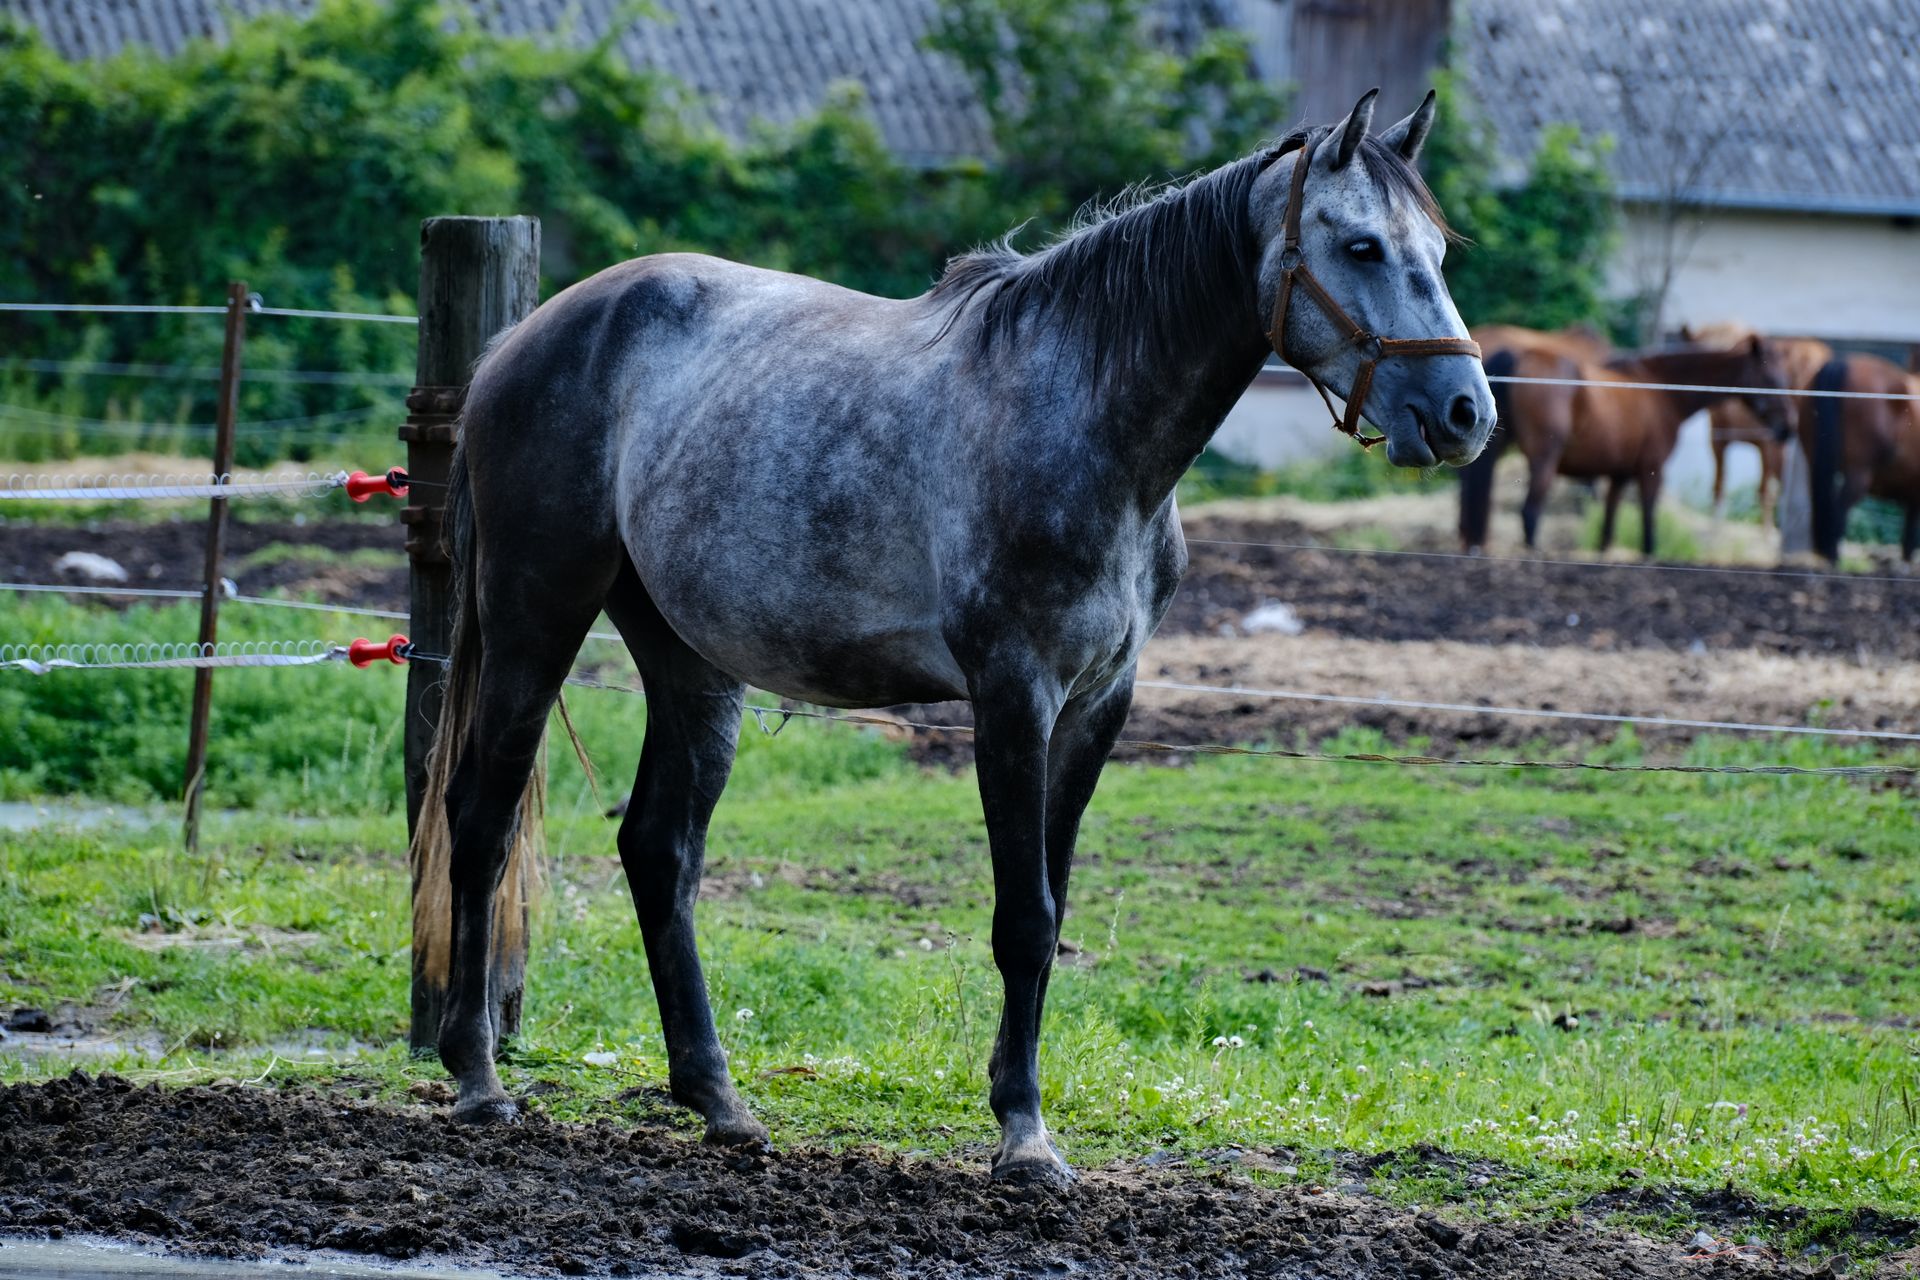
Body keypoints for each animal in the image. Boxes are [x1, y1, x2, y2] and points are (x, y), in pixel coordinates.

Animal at [409, 88, 1494, 1186]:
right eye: (1360, 245)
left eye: (1439, 250)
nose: (1464, 412)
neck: (1087, 419)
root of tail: (518, 344)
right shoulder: (1013, 693)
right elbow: (1025, 919)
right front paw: (1023, 1134)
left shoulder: (1101, 702)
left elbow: (1051, 911)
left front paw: (1024, 1115)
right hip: (536, 615)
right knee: (482, 815)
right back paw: (478, 1076)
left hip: (692, 661)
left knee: (658, 849)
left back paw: (718, 1097)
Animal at [1457, 333, 1790, 555]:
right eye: (1771, 378)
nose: (1786, 429)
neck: (1661, 389)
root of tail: (1518, 355)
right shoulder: (1650, 471)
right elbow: (1648, 525)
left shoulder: (1618, 476)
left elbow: (1607, 531)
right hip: (1544, 462)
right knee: (1529, 514)